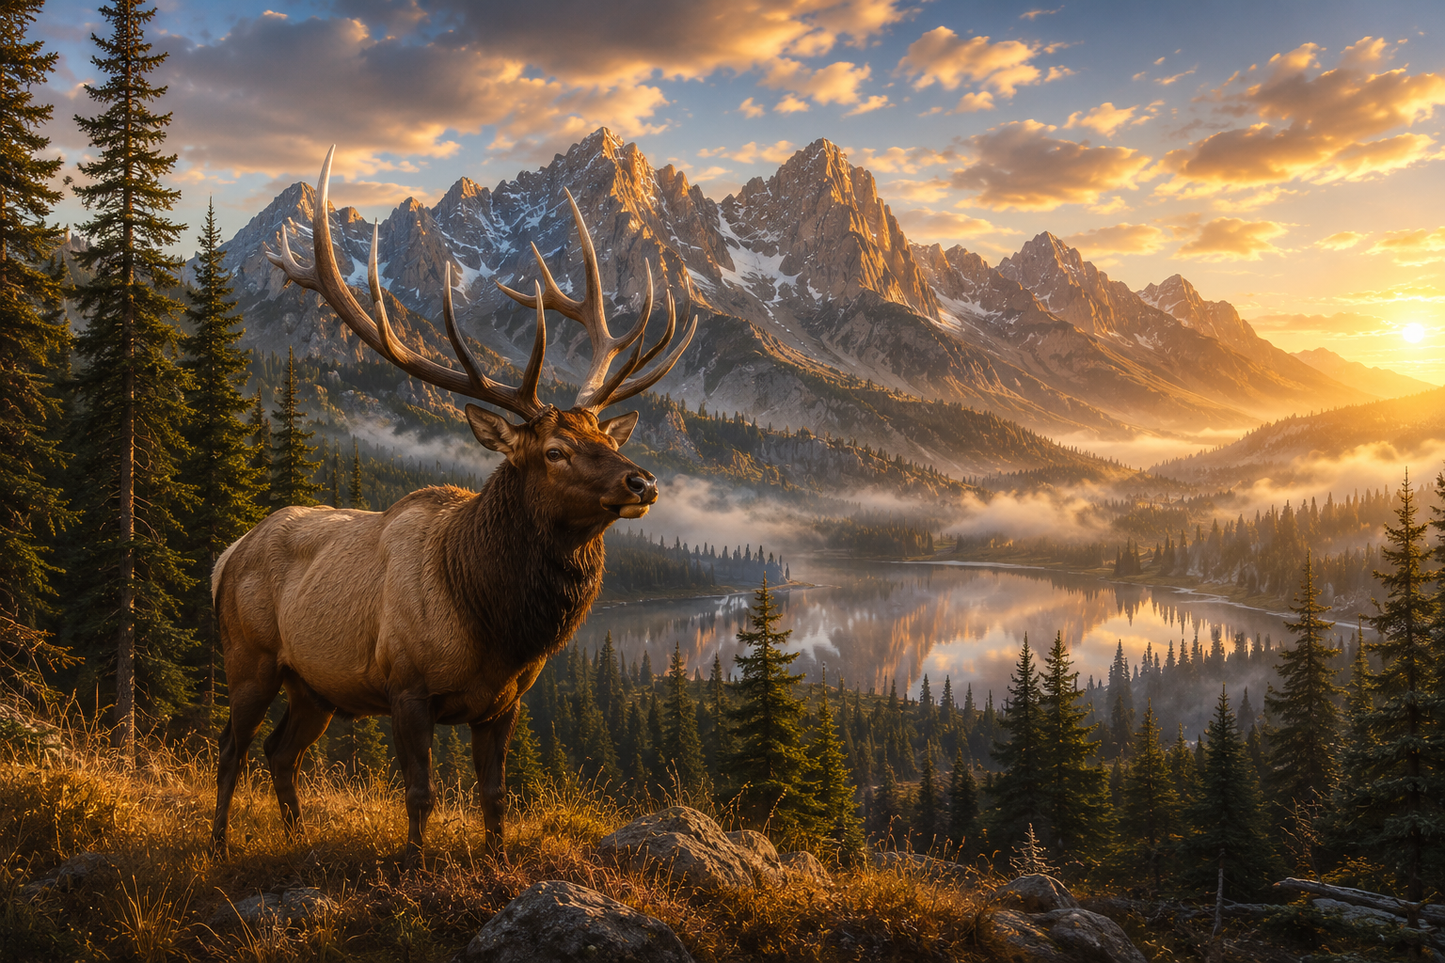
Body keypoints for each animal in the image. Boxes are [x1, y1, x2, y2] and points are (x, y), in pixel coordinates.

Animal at [209, 147, 695, 867]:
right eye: (554, 450)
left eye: (608, 439)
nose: (642, 482)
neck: (493, 625)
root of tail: (227, 553)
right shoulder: (405, 686)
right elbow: (422, 794)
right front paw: (412, 863)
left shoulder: (504, 704)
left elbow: (495, 796)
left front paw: (495, 861)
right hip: (250, 657)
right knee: (231, 748)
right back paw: (215, 845)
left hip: (314, 685)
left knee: (280, 752)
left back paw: (297, 838)